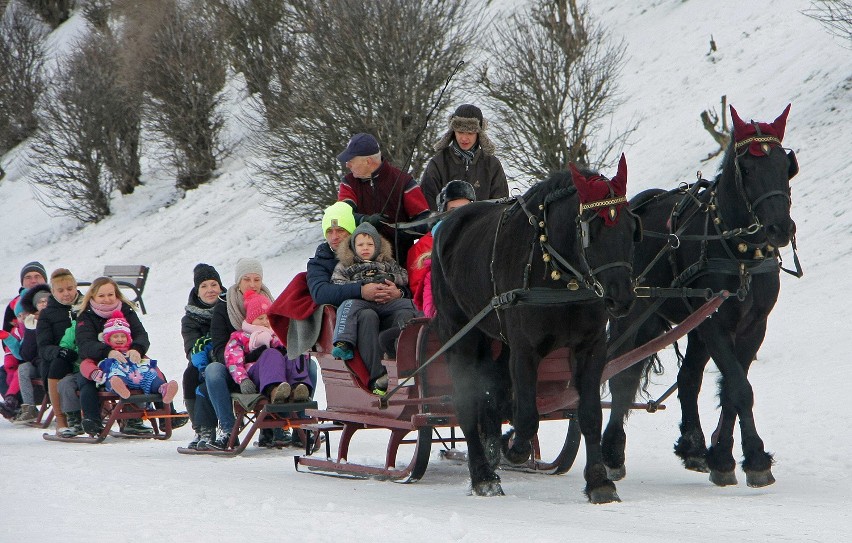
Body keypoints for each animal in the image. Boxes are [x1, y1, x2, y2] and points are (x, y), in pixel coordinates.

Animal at [432, 155, 640, 504]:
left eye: (630, 226)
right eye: (591, 229)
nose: (622, 298)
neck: (561, 275)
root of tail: (449, 222)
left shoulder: (591, 347)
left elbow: (589, 415)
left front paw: (599, 482)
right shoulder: (525, 350)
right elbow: (528, 416)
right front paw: (513, 446)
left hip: (495, 341)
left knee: (492, 396)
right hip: (460, 331)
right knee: (468, 401)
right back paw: (483, 475)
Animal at [604, 105, 796, 488]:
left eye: (786, 165)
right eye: (747, 169)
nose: (780, 229)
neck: (740, 253)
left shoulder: (753, 326)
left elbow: (732, 390)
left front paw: (723, 458)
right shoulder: (714, 322)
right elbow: (739, 387)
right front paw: (756, 459)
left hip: (685, 324)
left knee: (687, 378)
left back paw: (692, 446)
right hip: (634, 318)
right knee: (620, 377)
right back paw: (612, 452)